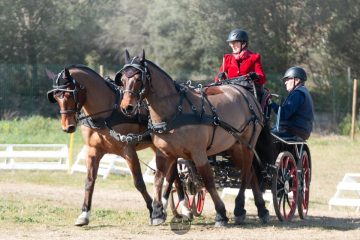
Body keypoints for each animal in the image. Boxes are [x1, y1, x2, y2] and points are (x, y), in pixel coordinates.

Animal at [46, 64, 190, 226]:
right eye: (55, 96)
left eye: (70, 93)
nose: (67, 127)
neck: (106, 114)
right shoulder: (93, 151)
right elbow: (89, 181)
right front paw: (84, 214)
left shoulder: (128, 150)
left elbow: (139, 182)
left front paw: (152, 210)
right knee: (174, 175)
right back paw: (172, 210)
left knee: (172, 176)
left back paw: (181, 209)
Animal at [118, 49, 270, 226]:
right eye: (122, 80)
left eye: (137, 79)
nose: (126, 107)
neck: (175, 111)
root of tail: (246, 93)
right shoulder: (165, 153)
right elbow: (159, 179)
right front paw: (156, 212)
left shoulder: (198, 153)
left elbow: (208, 181)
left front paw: (221, 213)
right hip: (234, 147)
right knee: (251, 172)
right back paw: (262, 209)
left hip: (247, 144)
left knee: (246, 174)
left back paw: (239, 208)